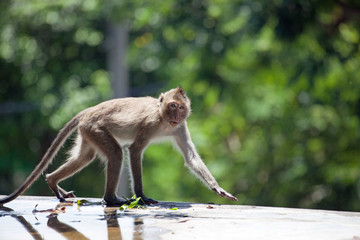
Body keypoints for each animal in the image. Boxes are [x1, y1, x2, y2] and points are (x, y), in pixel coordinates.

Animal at [0, 87, 239, 205]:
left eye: (180, 108)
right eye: (172, 106)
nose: (175, 115)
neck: (163, 120)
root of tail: (89, 110)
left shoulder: (180, 127)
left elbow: (191, 158)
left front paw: (217, 188)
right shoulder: (150, 123)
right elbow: (134, 150)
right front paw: (141, 196)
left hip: (88, 132)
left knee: (85, 157)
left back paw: (52, 180)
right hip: (95, 128)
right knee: (115, 154)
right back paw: (110, 199)